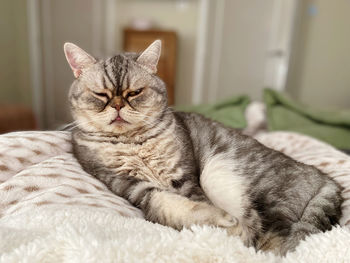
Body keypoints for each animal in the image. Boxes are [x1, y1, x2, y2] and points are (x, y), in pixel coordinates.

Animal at [63, 40, 342, 256]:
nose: (118, 105)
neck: (134, 142)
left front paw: (224, 227)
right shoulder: (134, 187)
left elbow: (197, 204)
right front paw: (223, 223)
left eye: (135, 93)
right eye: (100, 94)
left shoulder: (185, 178)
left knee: (276, 240)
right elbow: (174, 207)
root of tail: (326, 178)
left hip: (244, 184)